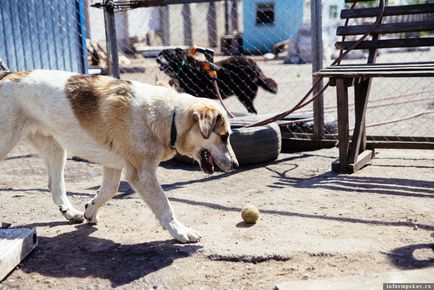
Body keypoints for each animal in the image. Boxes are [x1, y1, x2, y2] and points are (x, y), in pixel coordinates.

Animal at [0, 69, 237, 242]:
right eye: (224, 136)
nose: (235, 165)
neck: (170, 115)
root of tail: (8, 74)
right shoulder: (142, 175)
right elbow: (164, 204)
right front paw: (179, 231)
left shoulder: (114, 166)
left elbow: (109, 191)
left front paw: (90, 211)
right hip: (7, 144)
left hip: (56, 149)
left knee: (55, 186)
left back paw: (70, 212)